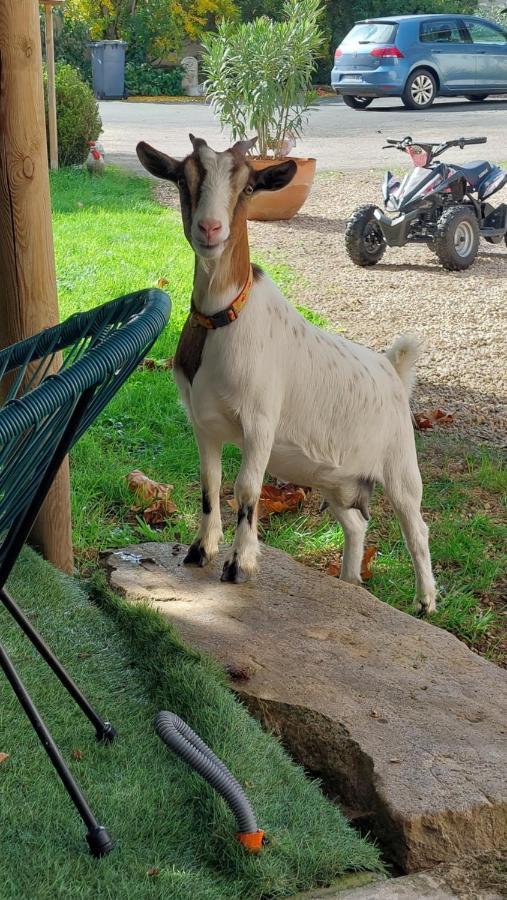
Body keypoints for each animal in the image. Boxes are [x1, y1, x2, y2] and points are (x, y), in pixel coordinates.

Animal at [138, 135, 436, 612]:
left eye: (247, 188)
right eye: (183, 181)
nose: (210, 229)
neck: (224, 316)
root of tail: (393, 366)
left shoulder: (260, 421)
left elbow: (245, 489)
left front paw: (240, 564)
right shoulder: (202, 422)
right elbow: (209, 483)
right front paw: (200, 550)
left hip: (400, 462)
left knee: (416, 525)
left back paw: (425, 600)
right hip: (336, 477)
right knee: (355, 523)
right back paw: (350, 581)